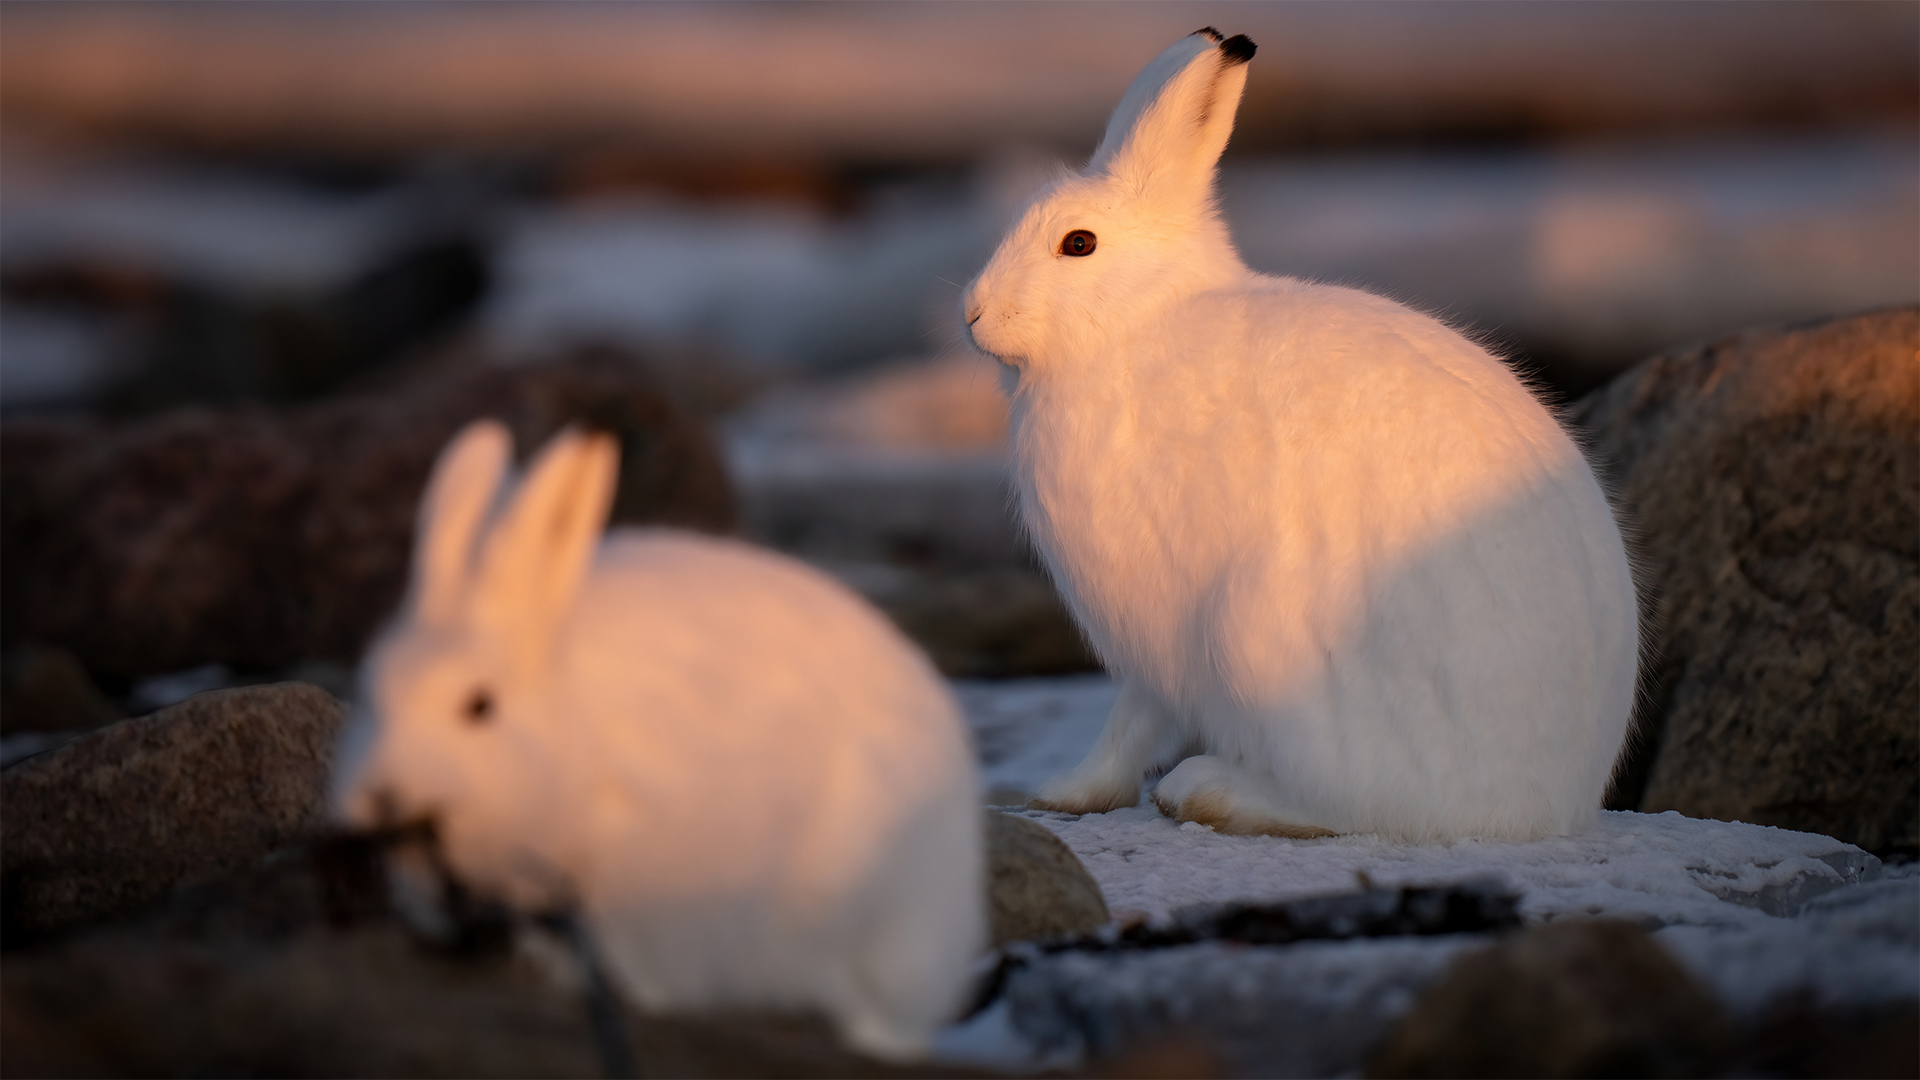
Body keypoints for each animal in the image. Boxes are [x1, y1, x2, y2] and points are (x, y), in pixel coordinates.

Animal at [961, 29, 1640, 842]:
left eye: (1079, 244)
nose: (973, 316)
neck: (1136, 322)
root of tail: (1542, 811)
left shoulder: (1158, 628)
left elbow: (1134, 719)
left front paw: (1066, 794)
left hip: (1256, 634)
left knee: (1347, 806)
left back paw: (1206, 791)